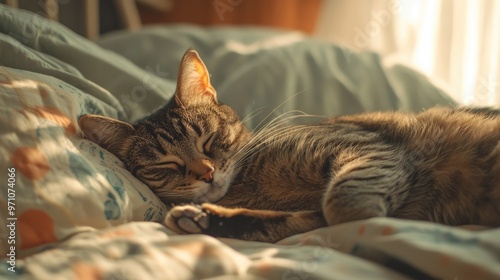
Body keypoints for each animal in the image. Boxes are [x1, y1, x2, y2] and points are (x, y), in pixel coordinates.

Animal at [79, 49, 500, 242]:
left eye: (209, 139)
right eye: (165, 165)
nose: (207, 173)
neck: (250, 185)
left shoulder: (371, 149)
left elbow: (342, 204)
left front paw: (374, 218)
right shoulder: (302, 214)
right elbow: (286, 222)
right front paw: (206, 218)